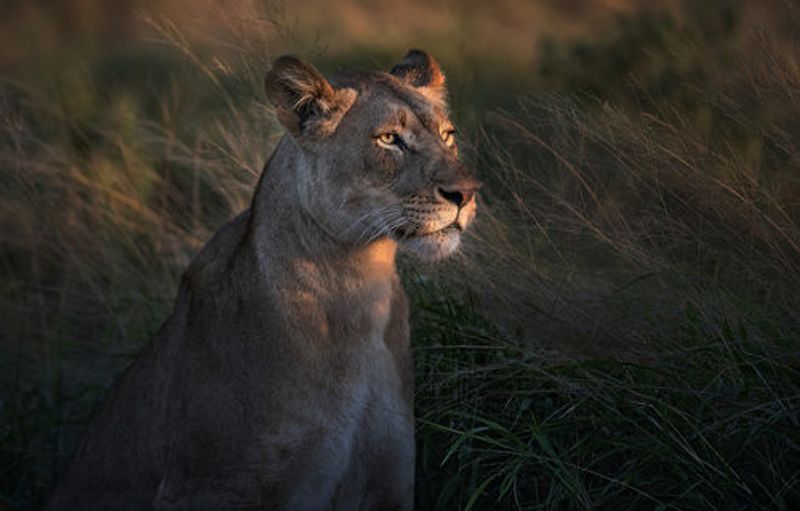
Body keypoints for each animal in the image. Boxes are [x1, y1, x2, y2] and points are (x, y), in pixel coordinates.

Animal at [47, 49, 479, 510]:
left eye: (448, 135)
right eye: (389, 139)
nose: (467, 193)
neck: (360, 284)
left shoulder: (391, 482)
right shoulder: (210, 488)